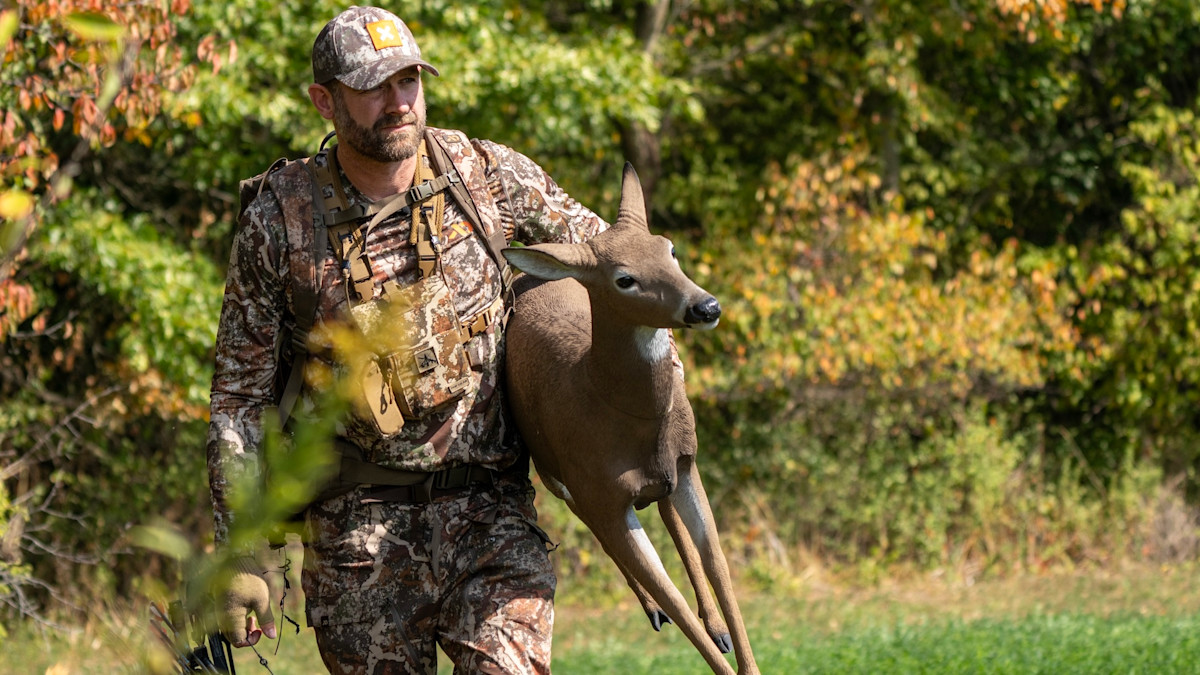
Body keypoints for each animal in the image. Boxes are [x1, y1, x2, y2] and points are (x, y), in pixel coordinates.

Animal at [501, 163, 759, 675]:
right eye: (624, 279)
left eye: (669, 247)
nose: (706, 306)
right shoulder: (601, 492)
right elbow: (671, 595)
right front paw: (674, 613)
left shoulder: (687, 463)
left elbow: (718, 563)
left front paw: (732, 642)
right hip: (555, 475)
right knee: (599, 531)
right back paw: (655, 611)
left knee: (664, 509)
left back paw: (715, 626)